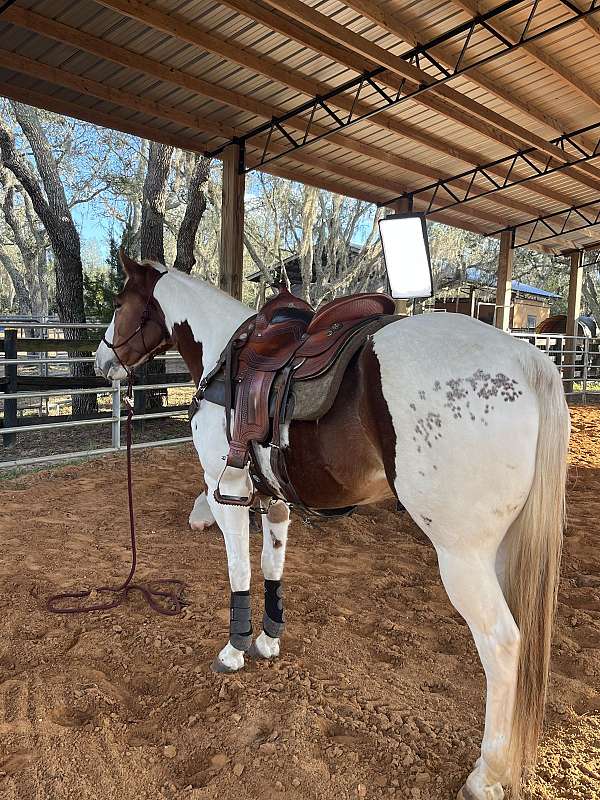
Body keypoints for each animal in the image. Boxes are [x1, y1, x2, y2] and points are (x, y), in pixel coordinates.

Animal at [94, 254, 569, 800]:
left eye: (120, 302)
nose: (101, 361)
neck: (226, 357)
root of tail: (526, 361)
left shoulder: (226, 492)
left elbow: (239, 571)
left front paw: (235, 650)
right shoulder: (274, 500)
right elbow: (271, 566)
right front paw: (267, 641)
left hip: (463, 557)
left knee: (503, 644)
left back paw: (487, 774)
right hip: (504, 552)